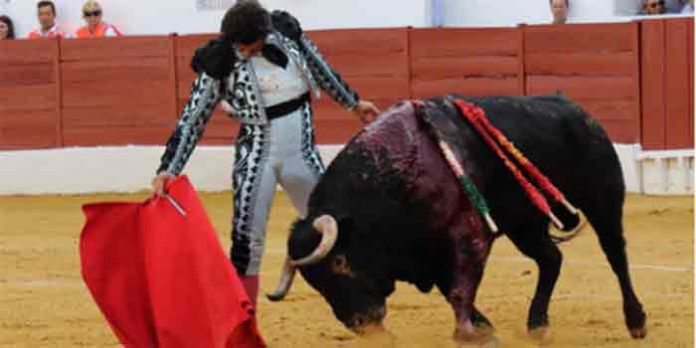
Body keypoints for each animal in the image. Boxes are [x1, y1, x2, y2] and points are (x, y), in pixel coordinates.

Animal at [266, 94, 648, 340]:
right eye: (314, 282)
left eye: (340, 263)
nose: (360, 324)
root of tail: (579, 110)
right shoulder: (429, 250)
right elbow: (451, 288)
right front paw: (483, 328)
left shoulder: (469, 235)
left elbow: (459, 290)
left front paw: (467, 332)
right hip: (524, 224)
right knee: (551, 259)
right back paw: (537, 323)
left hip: (603, 199)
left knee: (616, 255)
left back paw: (636, 320)